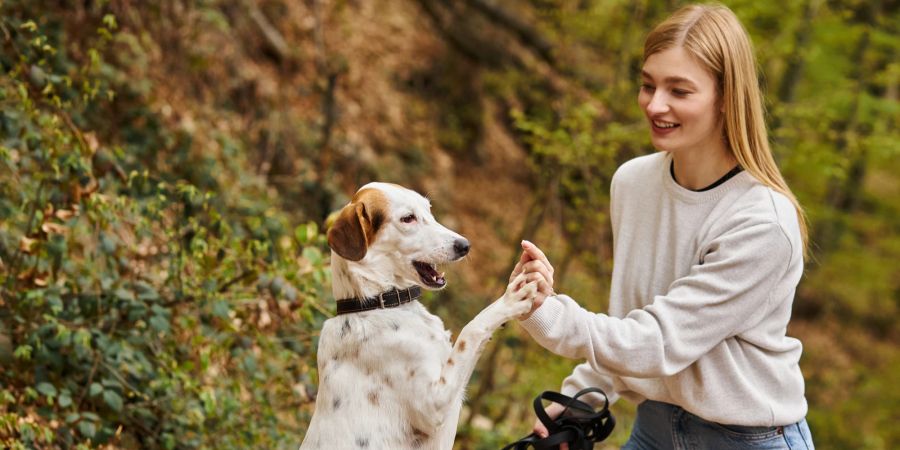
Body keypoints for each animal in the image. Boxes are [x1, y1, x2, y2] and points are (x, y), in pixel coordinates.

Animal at [298, 183, 536, 450]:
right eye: (408, 218)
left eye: (429, 211)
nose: (465, 245)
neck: (375, 305)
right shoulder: (434, 404)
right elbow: (472, 329)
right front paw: (510, 300)